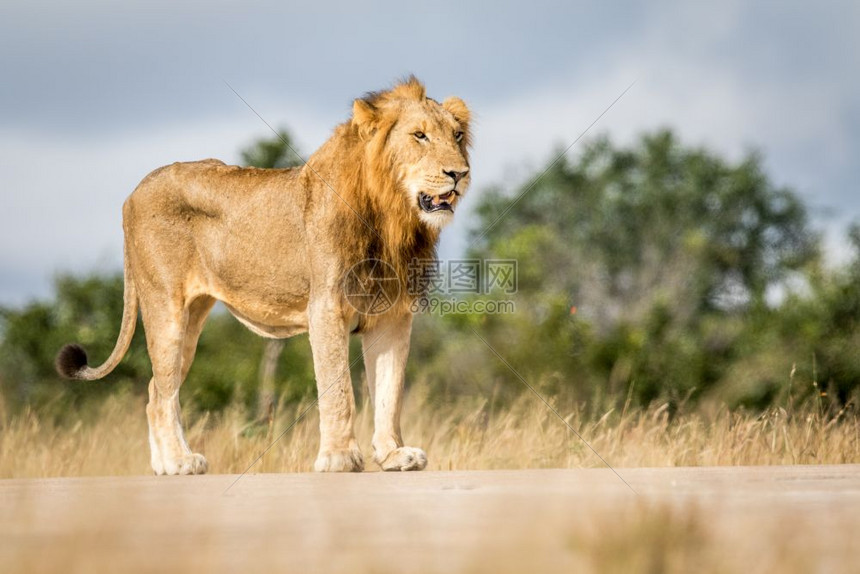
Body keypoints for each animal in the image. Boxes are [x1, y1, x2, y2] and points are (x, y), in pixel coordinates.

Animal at [55, 79, 470, 480]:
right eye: (419, 136)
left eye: (458, 136)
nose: (459, 174)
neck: (392, 216)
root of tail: (134, 191)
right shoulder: (326, 307)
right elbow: (339, 390)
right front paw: (339, 458)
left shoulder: (392, 315)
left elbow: (389, 391)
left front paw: (393, 455)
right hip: (166, 307)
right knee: (162, 393)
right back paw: (180, 462)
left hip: (192, 317)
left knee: (156, 388)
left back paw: (164, 464)